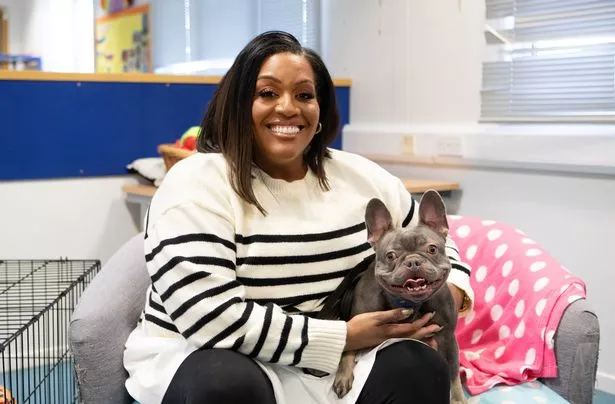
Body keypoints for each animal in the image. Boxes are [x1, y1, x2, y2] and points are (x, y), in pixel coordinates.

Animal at [332, 190, 466, 404]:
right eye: (391, 256)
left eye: (432, 249)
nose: (413, 261)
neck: (411, 303)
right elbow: (348, 349)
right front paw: (343, 376)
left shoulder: (447, 339)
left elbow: (453, 377)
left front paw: (458, 399)